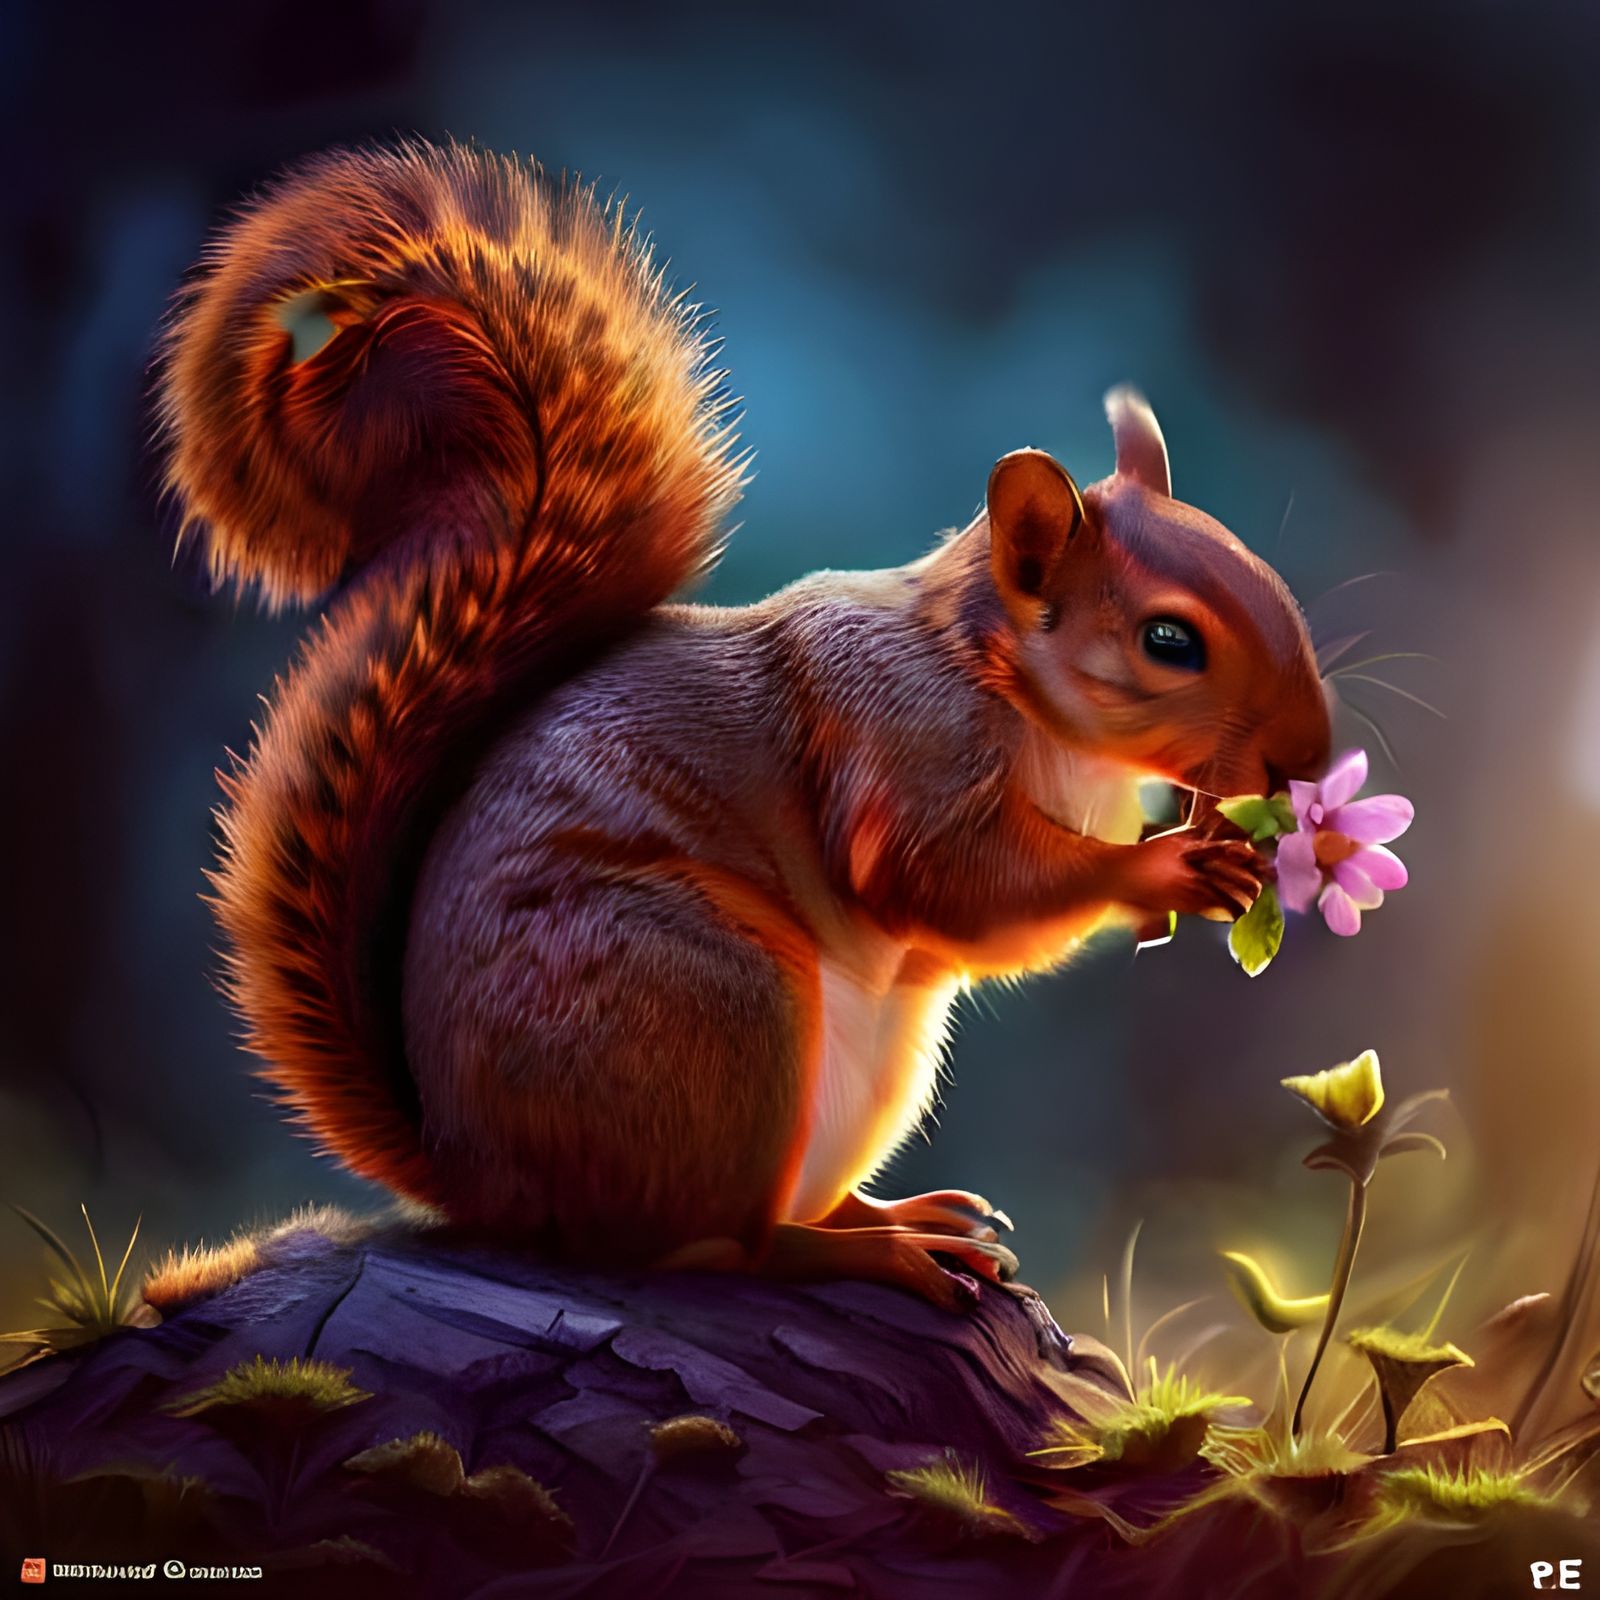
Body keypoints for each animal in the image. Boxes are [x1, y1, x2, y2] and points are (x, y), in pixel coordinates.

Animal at [158, 140, 1331, 1311]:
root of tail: (484, 1177)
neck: (1007, 687)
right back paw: (872, 1253)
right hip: (713, 1006)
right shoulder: (899, 743)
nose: (1307, 759)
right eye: (1168, 640)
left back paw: (901, 1215)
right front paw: (1165, 868)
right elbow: (953, 881)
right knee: (721, 1244)